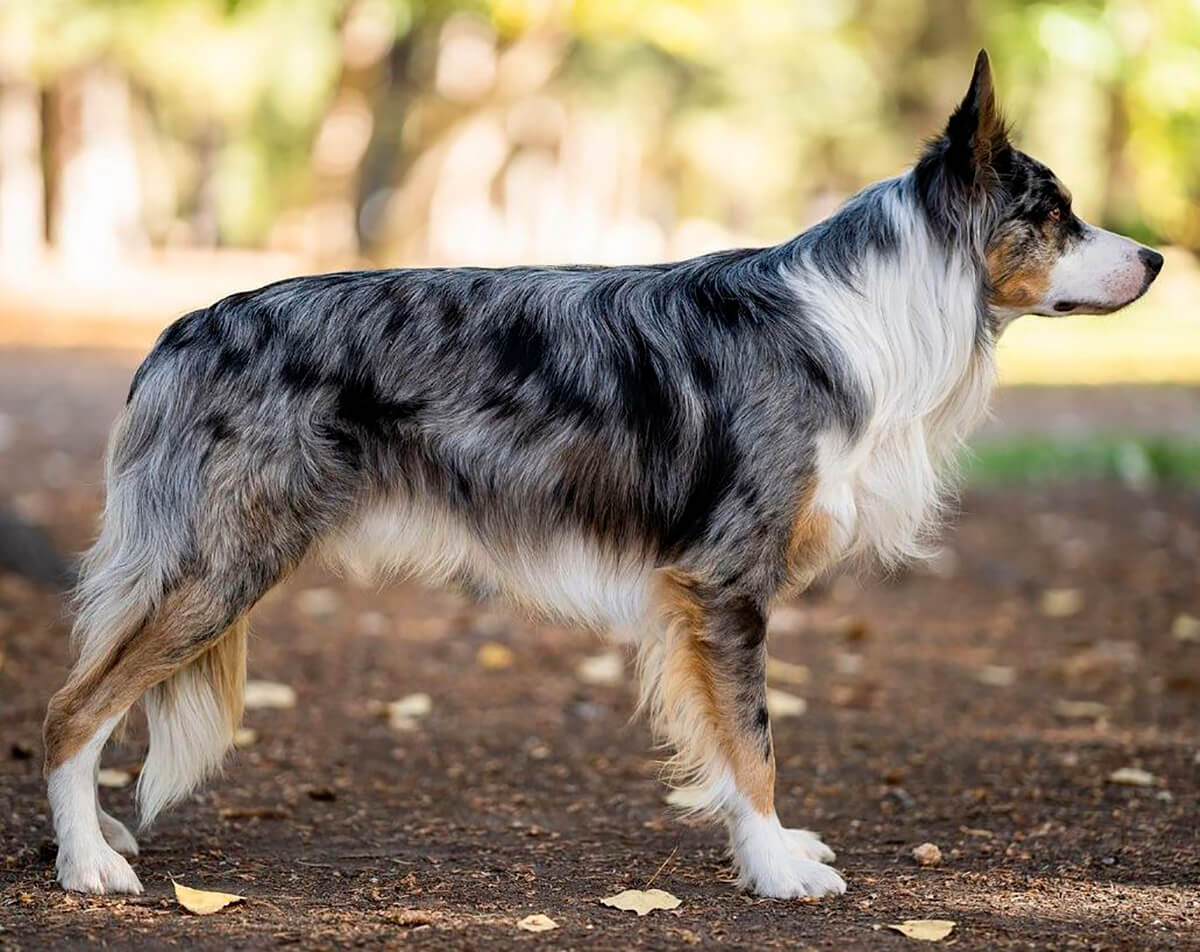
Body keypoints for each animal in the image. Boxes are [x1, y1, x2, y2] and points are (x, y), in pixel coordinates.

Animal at [44, 50, 1161, 897]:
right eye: (1052, 213)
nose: (1156, 258)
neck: (884, 310)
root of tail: (188, 326)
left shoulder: (697, 598)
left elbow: (728, 744)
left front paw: (768, 847)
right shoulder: (725, 580)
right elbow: (755, 740)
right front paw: (777, 868)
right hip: (222, 566)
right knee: (70, 711)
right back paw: (88, 861)